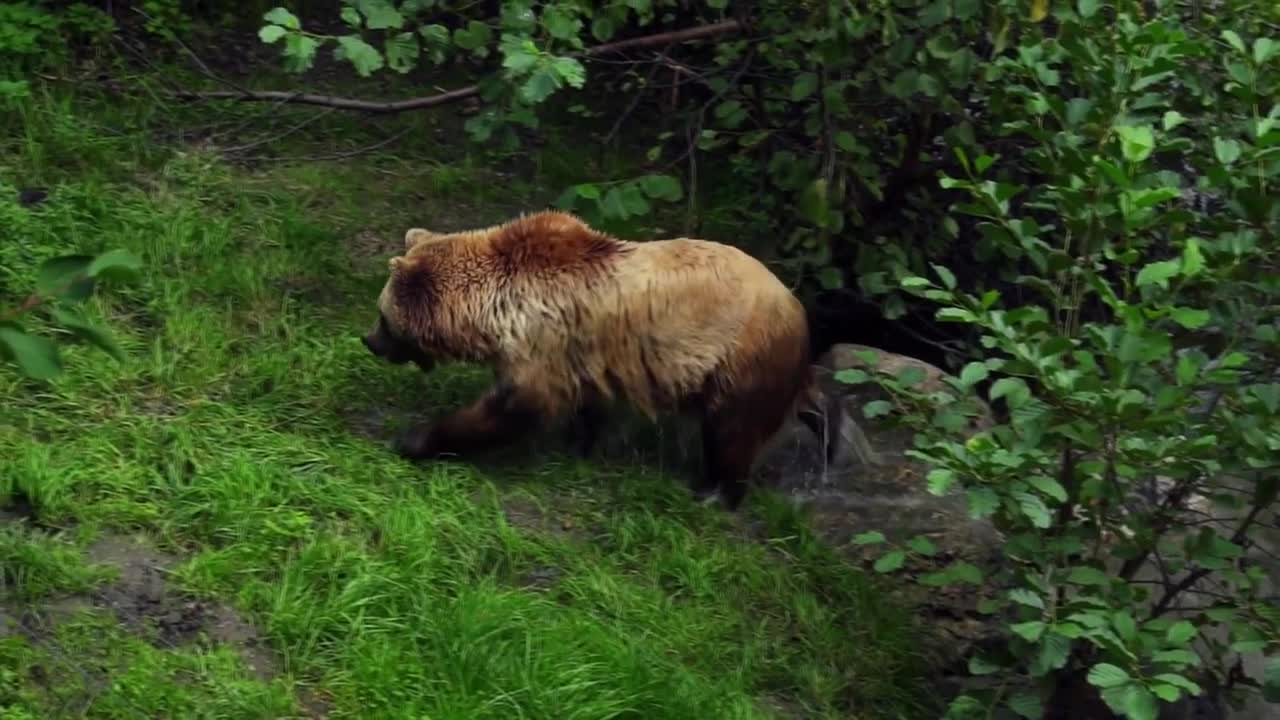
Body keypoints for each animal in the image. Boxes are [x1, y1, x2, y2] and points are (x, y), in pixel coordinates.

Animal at [360, 210, 849, 507]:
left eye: (383, 316)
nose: (368, 340)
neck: (494, 309)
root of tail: (797, 307)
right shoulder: (583, 355)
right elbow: (587, 406)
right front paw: (582, 445)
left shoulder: (541, 347)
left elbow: (511, 409)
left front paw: (415, 439)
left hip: (740, 360)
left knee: (732, 432)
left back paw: (714, 492)